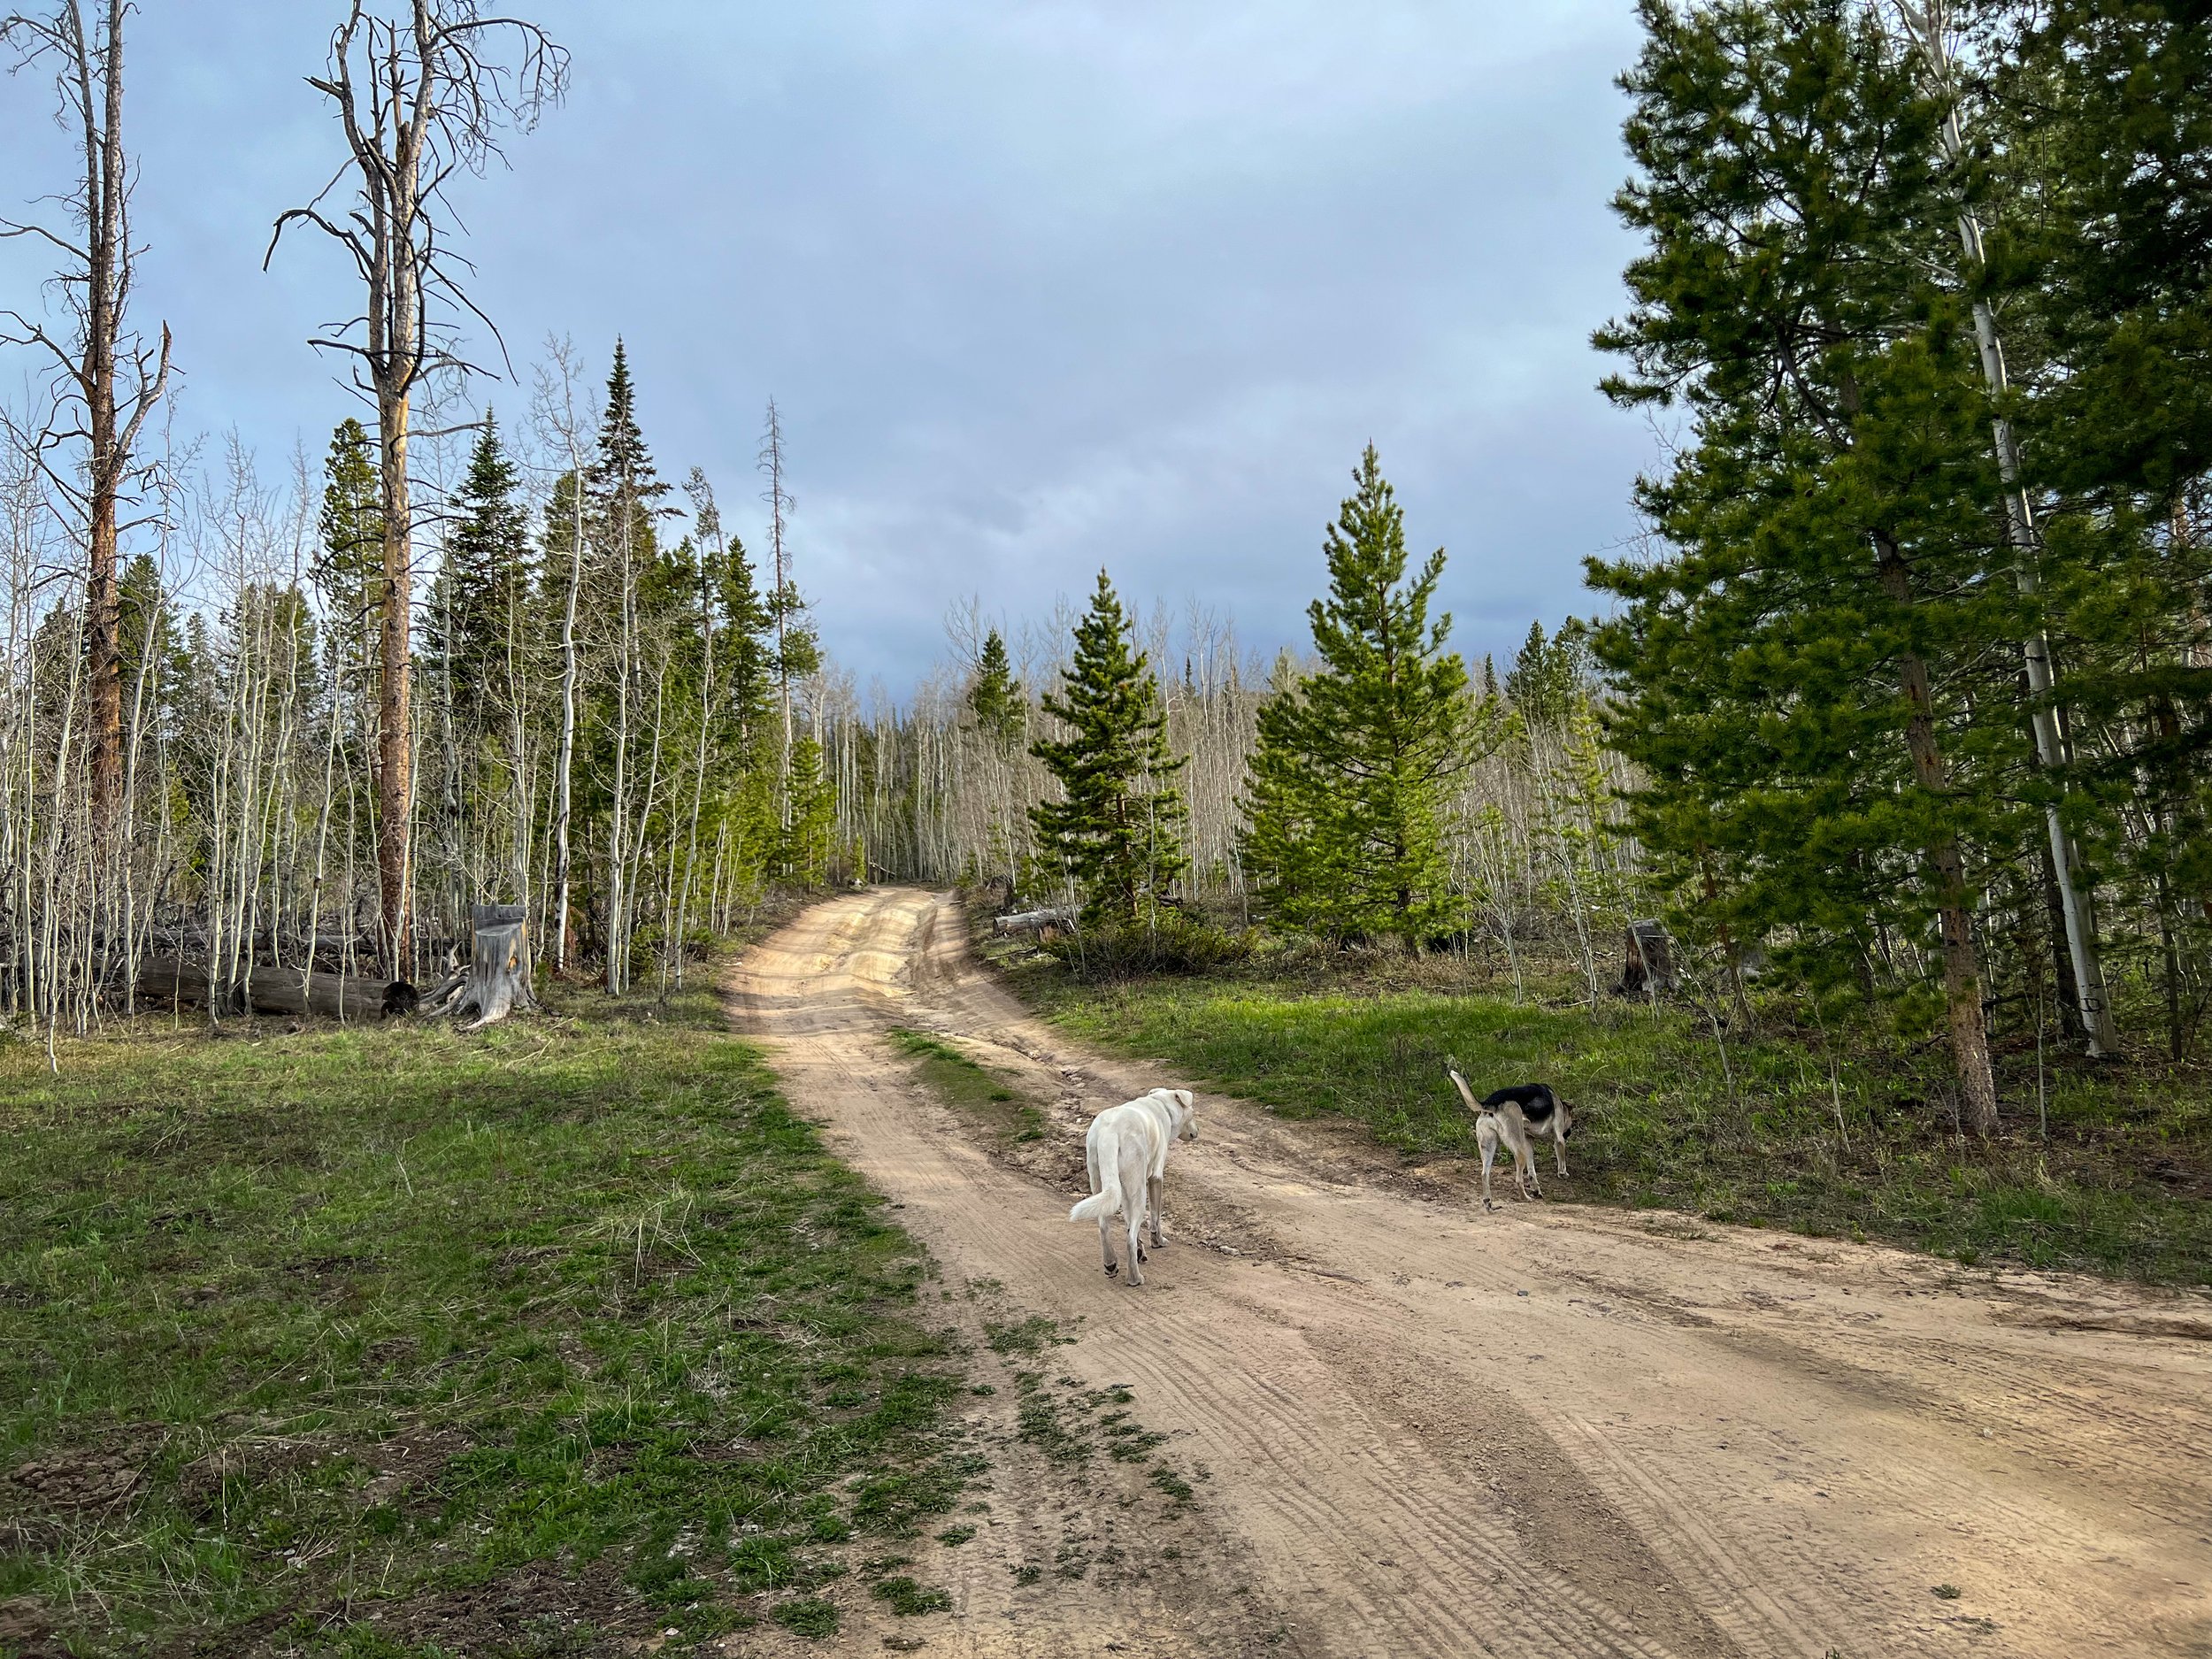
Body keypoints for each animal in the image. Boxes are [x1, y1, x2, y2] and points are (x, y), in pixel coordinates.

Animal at [1066, 1093, 1194, 1283]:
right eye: (1193, 1114)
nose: (1196, 1132)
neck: (1161, 1103)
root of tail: (1109, 1133)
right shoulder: (1155, 1177)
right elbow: (1155, 1217)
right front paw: (1158, 1241)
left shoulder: (1126, 1190)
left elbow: (1128, 1223)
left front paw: (1141, 1251)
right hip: (1139, 1192)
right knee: (1129, 1241)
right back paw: (1134, 1278)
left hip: (1099, 1182)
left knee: (1104, 1227)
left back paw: (1111, 1264)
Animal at [1451, 1071, 1575, 1212]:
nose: (1569, 1133)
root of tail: (1491, 1103)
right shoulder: (1558, 1139)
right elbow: (1561, 1162)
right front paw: (1563, 1174)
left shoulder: (1528, 1142)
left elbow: (1532, 1172)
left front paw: (1536, 1190)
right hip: (1519, 1152)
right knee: (1518, 1179)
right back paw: (1525, 1198)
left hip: (1488, 1147)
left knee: (1484, 1174)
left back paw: (1488, 1202)